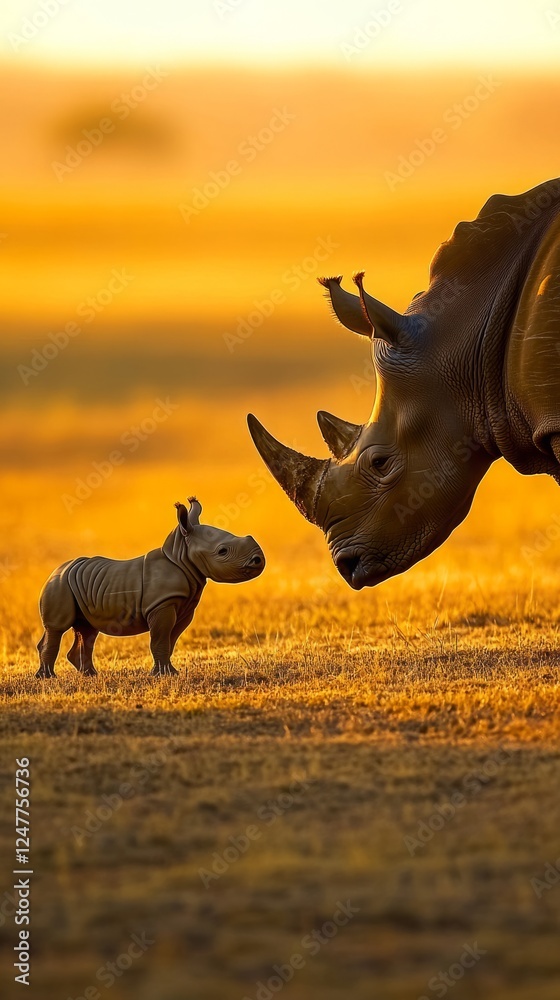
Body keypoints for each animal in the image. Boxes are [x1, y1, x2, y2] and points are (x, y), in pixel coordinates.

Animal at [36, 498, 265, 677]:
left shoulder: (184, 606)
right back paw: (48, 678)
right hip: (59, 584)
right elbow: (160, 639)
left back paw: (90, 675)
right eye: (222, 551)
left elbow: (171, 640)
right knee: (57, 628)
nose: (259, 560)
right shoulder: (162, 604)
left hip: (77, 586)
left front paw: (170, 672)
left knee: (87, 629)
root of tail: (55, 571)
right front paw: (163, 675)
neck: (181, 558)